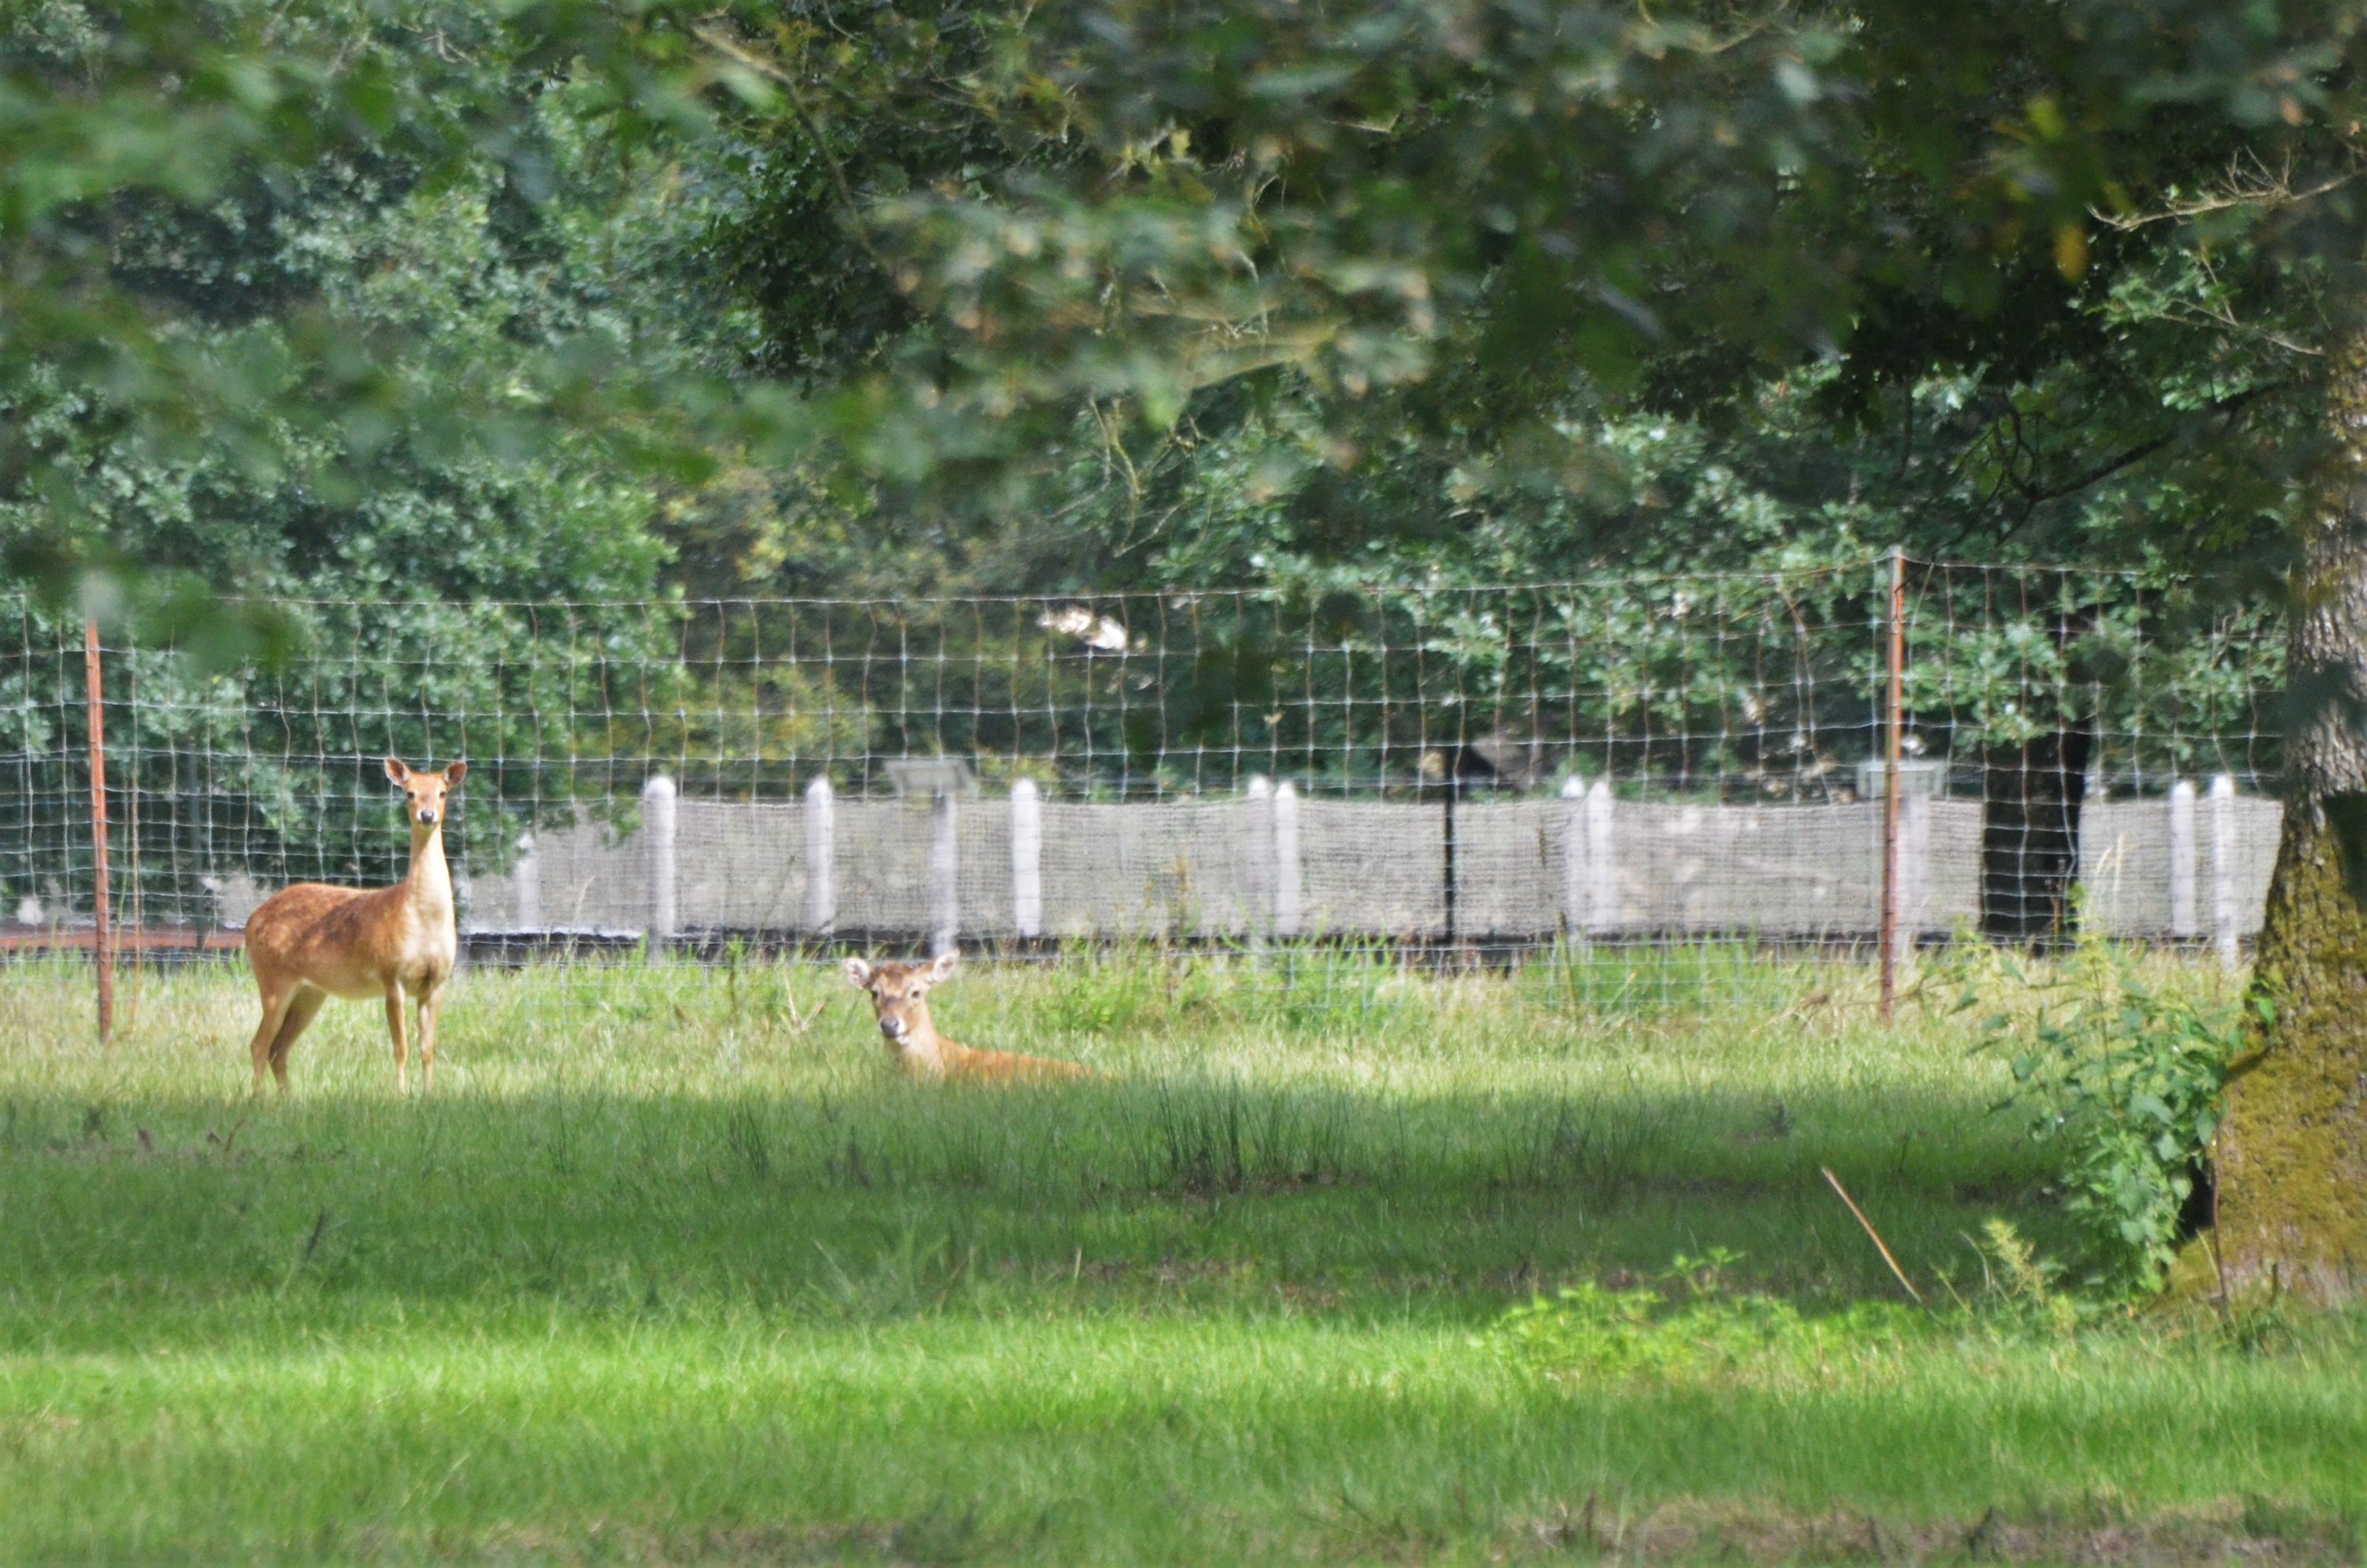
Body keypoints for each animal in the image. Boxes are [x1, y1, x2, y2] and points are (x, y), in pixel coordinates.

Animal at [241, 758, 467, 1093]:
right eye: (409, 793)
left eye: (442, 793)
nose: (427, 816)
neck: (422, 920)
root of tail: (251, 920)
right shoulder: (391, 974)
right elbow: (401, 1047)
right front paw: (401, 1094)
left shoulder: (437, 981)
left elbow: (427, 1048)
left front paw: (429, 1093)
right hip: (272, 977)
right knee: (259, 1044)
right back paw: (259, 1097)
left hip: (310, 992)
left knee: (278, 1048)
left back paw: (288, 1097)